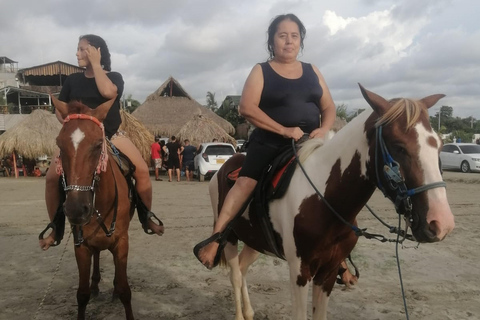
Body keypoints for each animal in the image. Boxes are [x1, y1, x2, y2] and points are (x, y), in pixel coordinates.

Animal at [51, 96, 135, 318]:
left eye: (98, 145)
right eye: (59, 145)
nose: (76, 209)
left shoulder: (121, 243)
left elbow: (125, 291)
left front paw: (118, 290)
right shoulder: (81, 245)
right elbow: (82, 294)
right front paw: (91, 288)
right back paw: (96, 283)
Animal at [208, 85, 456, 320]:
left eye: (439, 145)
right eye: (399, 146)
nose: (441, 223)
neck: (322, 200)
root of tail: (222, 170)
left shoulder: (328, 272)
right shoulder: (300, 271)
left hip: (254, 241)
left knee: (242, 268)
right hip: (230, 238)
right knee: (235, 274)